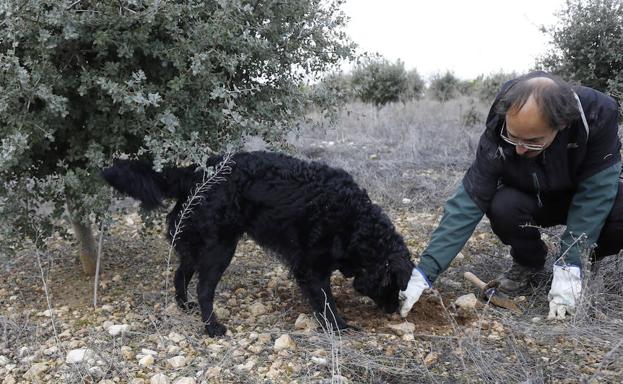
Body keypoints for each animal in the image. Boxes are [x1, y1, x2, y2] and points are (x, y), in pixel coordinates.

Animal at [102, 150, 414, 336]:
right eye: (393, 285)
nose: (393, 311)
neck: (356, 221)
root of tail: (196, 171)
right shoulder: (310, 267)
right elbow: (325, 300)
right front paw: (338, 326)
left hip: (197, 244)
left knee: (180, 275)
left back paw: (183, 306)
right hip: (220, 249)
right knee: (204, 289)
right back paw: (212, 327)